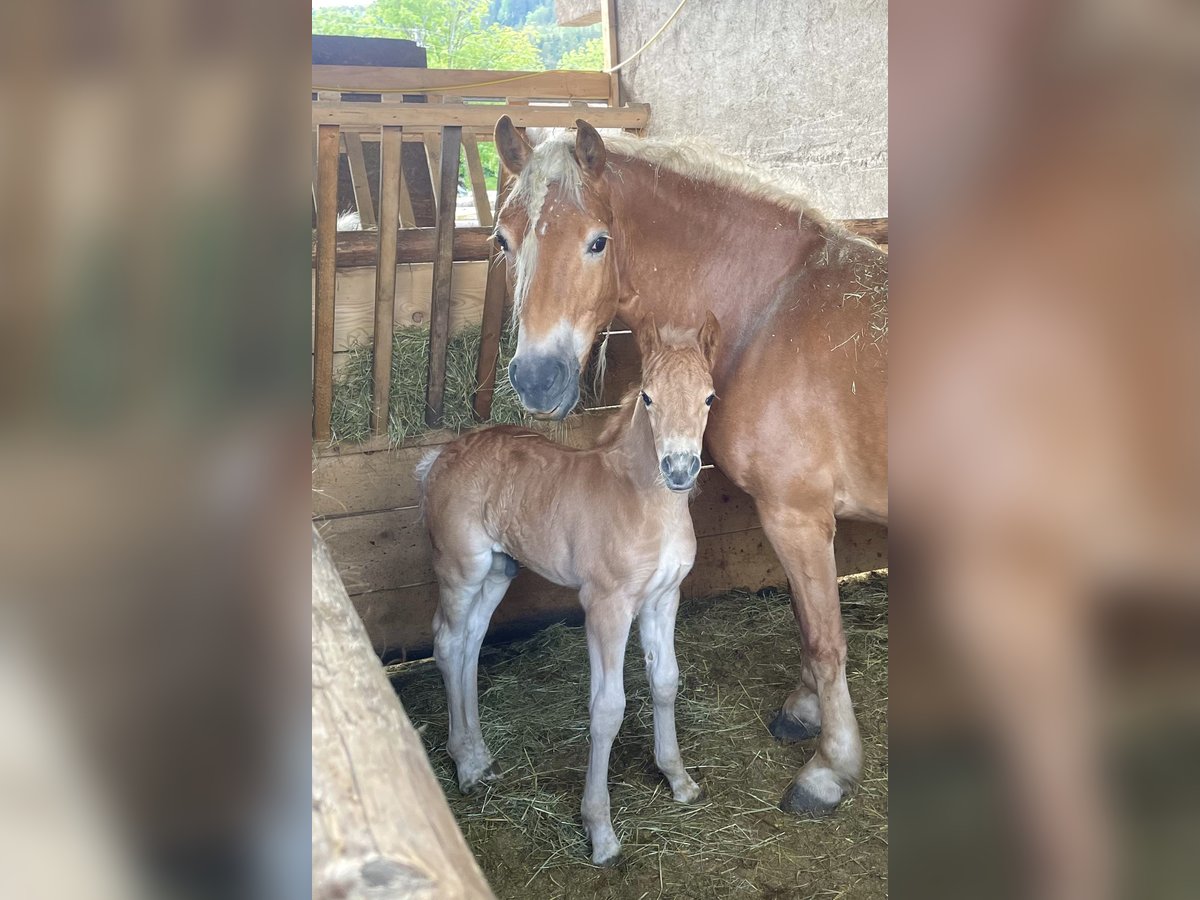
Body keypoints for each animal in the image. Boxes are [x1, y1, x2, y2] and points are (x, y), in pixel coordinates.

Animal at [420, 314, 720, 868]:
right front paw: (600, 832)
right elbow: (607, 709)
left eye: (709, 397)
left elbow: (666, 681)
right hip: (461, 568)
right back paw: (466, 767)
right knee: (448, 643)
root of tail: (440, 456)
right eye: (648, 397)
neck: (647, 504)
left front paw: (678, 779)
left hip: (499, 571)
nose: (680, 469)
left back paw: (480, 756)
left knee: (471, 643)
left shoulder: (663, 599)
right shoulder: (606, 606)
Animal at [489, 118, 892, 816]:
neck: (772, 307)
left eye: (598, 241)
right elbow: (805, 619)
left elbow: (824, 636)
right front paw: (805, 711)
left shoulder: (796, 515)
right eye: (504, 239)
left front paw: (830, 768)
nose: (537, 380)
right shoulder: (793, 521)